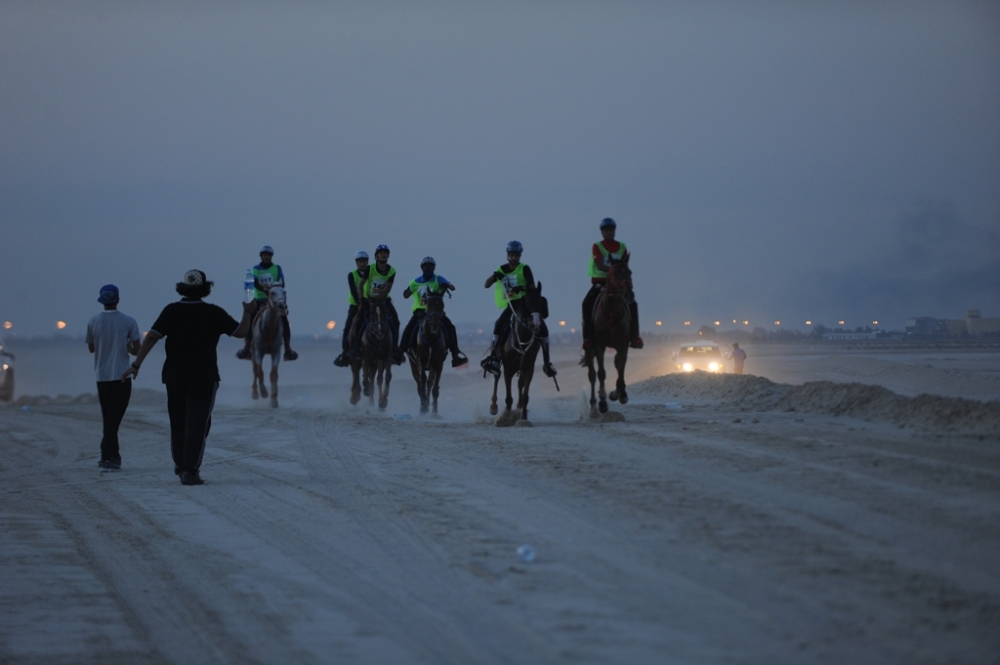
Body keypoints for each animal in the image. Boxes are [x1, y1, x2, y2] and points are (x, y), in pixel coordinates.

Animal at [488, 280, 544, 426]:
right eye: (527, 303)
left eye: (541, 302)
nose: (536, 324)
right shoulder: (508, 368)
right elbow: (508, 397)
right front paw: (505, 418)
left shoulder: (529, 367)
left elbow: (525, 395)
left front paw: (523, 419)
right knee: (496, 376)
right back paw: (493, 406)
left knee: (520, 383)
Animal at [580, 258, 632, 416]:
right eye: (615, 274)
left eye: (630, 272)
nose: (629, 294)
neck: (612, 314)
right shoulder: (600, 345)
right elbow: (601, 373)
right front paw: (603, 403)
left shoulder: (623, 346)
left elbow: (621, 369)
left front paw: (619, 395)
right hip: (589, 346)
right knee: (592, 374)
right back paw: (593, 407)